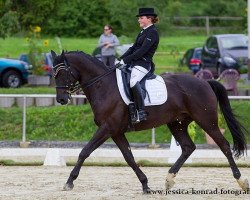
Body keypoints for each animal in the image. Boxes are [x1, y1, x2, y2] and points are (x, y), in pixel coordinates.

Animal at [50, 50, 248, 194]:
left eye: (63, 73)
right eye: (54, 74)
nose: (61, 99)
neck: (103, 86)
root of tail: (206, 82)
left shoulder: (107, 128)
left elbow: (85, 151)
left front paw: (69, 182)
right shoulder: (116, 131)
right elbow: (129, 158)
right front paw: (145, 185)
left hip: (207, 121)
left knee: (224, 145)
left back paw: (241, 181)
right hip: (177, 123)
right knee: (187, 147)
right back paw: (169, 180)